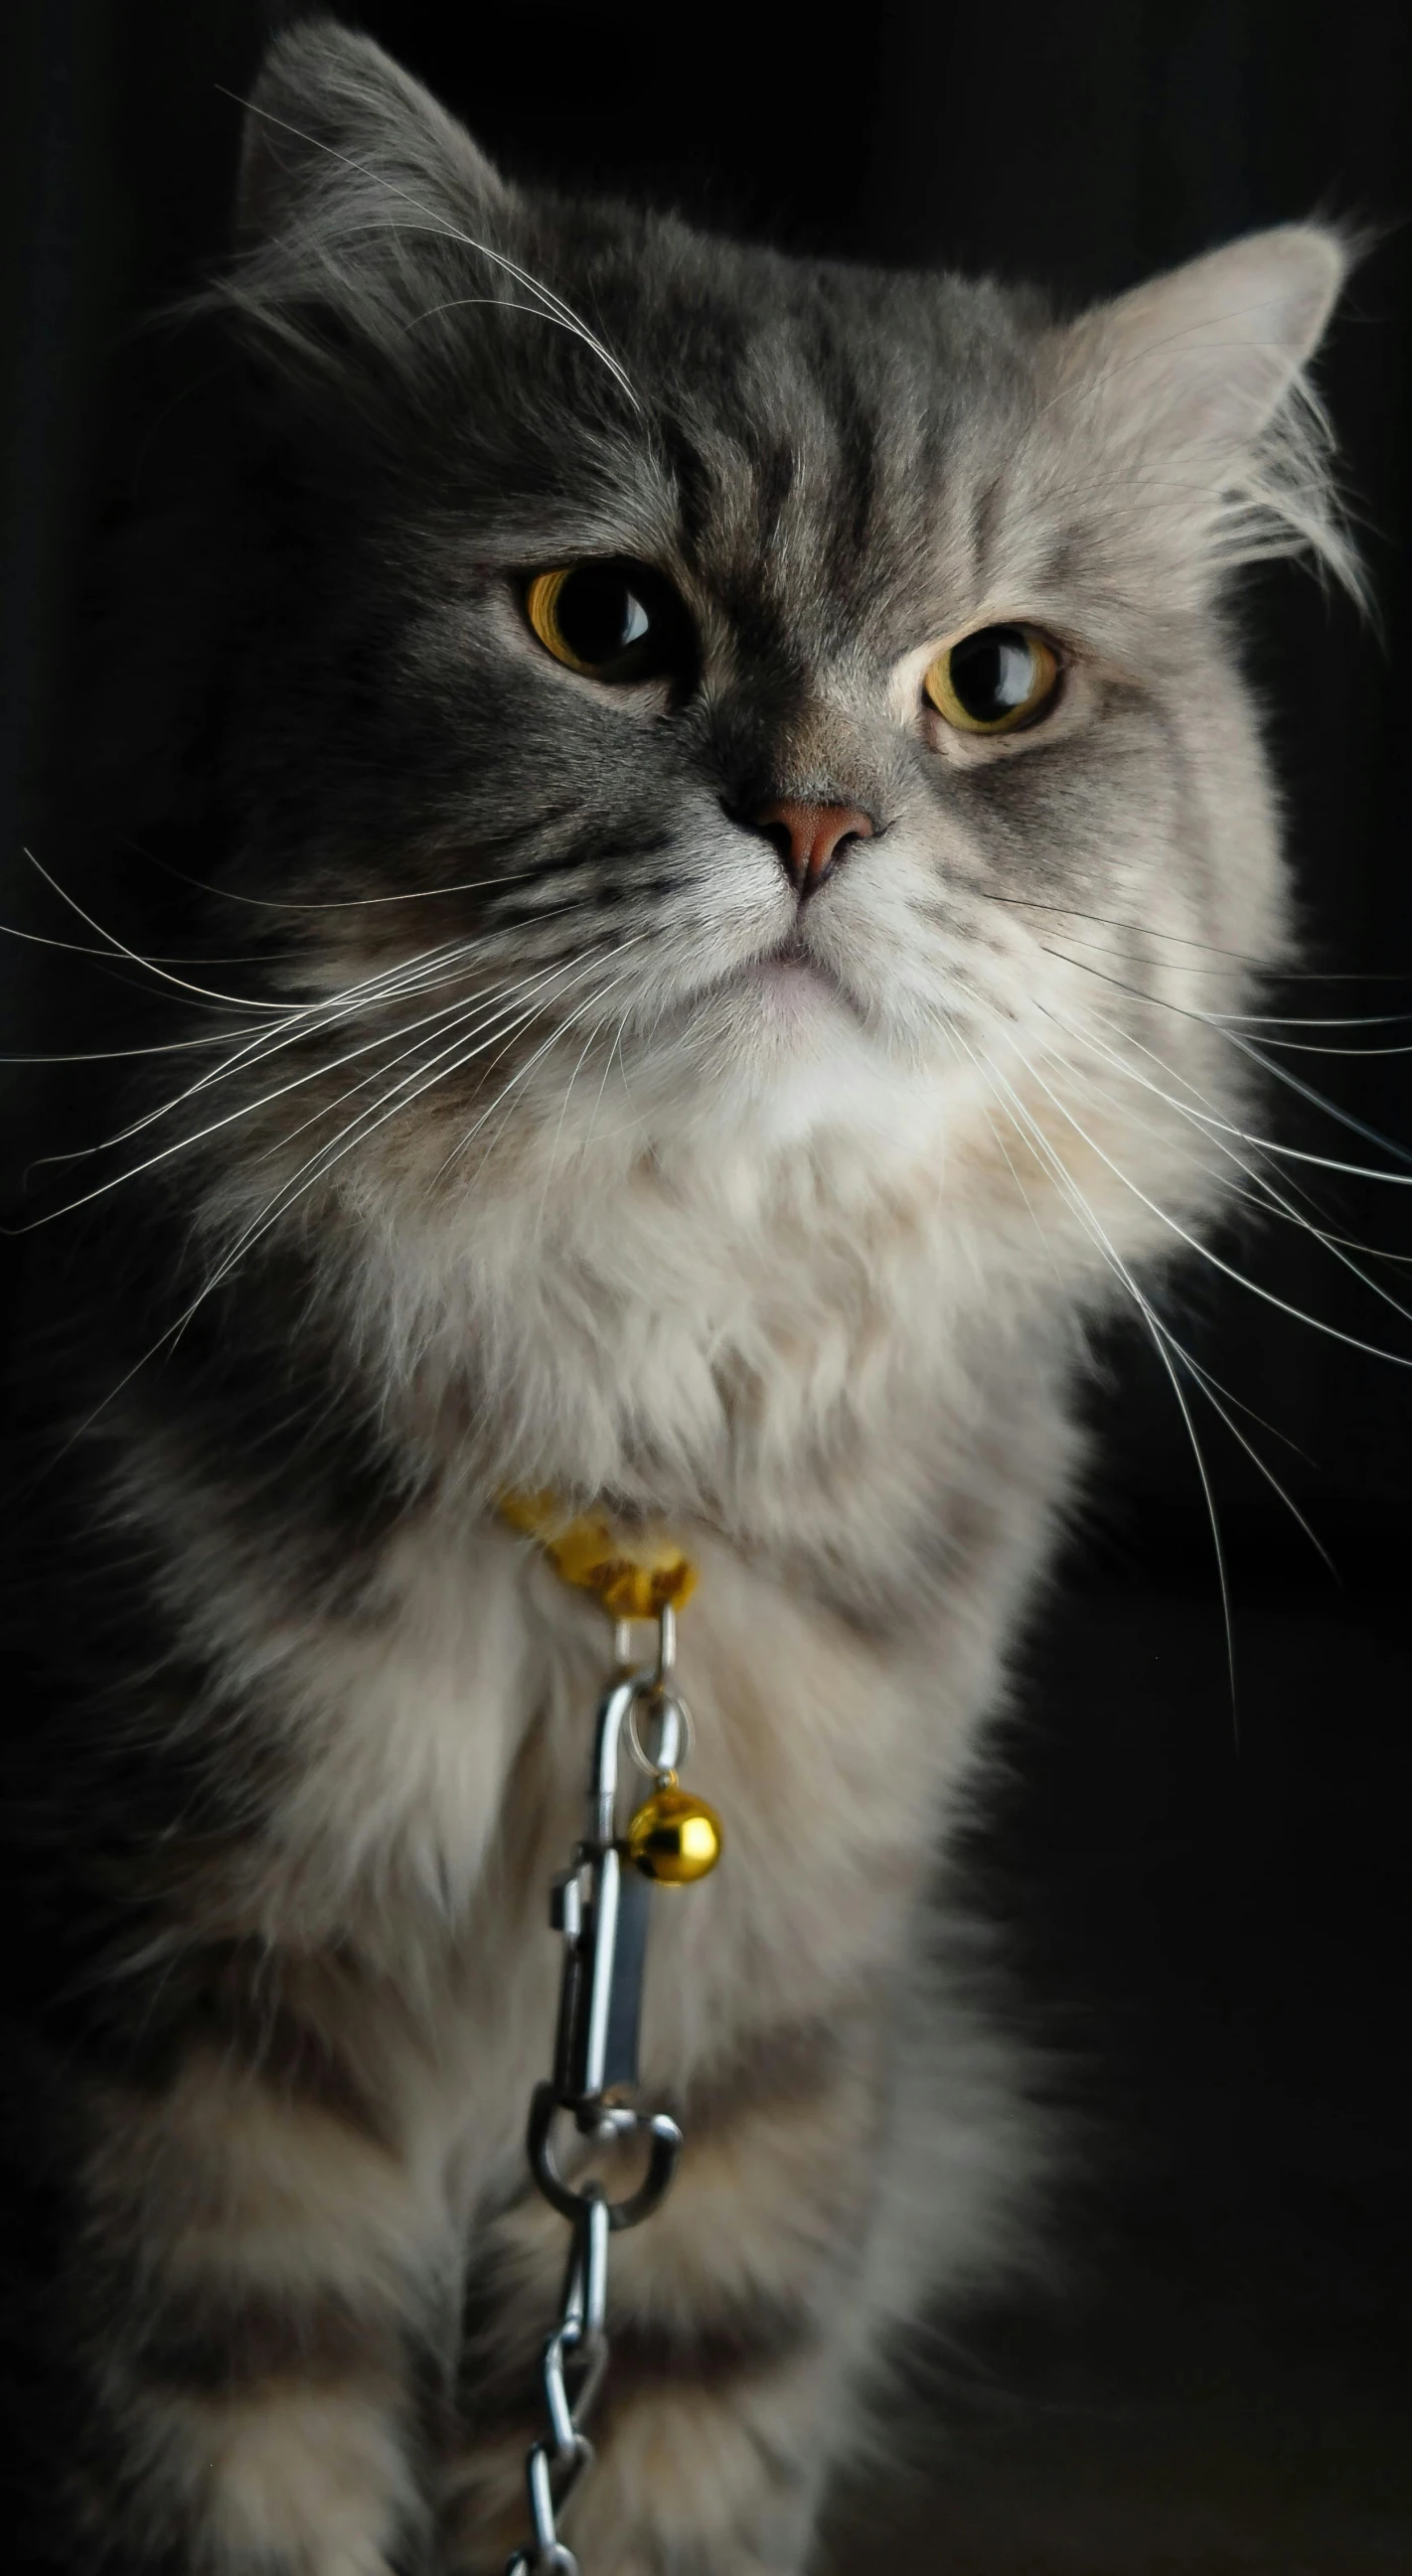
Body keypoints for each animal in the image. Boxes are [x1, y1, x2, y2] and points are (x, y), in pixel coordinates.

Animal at [0, 20, 1360, 2576]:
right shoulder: (194, 2038)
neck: (637, 1468)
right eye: (607, 626)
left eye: (996, 682)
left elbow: (660, 2462)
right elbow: (233, 2481)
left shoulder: (752, 2059)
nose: (818, 827)